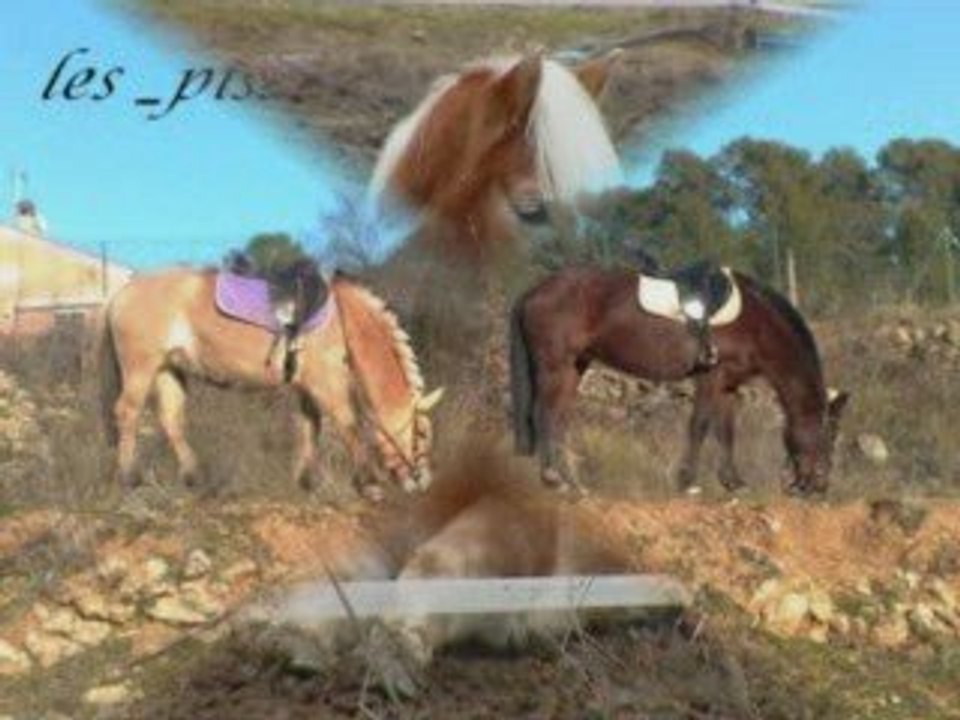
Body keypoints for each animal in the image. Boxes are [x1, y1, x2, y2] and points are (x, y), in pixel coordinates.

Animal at [100, 268, 444, 498]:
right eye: (422, 433)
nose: (423, 482)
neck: (342, 320)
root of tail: (121, 294)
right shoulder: (327, 385)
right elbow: (348, 425)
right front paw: (370, 484)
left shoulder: (307, 389)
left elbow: (309, 429)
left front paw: (304, 481)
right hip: (141, 369)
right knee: (127, 413)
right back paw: (128, 477)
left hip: (169, 370)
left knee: (171, 420)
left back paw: (194, 476)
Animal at [510, 266, 850, 496]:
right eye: (826, 433)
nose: (820, 485)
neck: (755, 322)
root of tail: (533, 291)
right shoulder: (711, 377)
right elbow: (699, 425)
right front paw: (687, 482)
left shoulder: (728, 386)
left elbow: (726, 432)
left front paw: (734, 483)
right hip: (554, 367)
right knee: (545, 414)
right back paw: (553, 479)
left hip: (574, 368)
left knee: (560, 419)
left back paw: (572, 483)